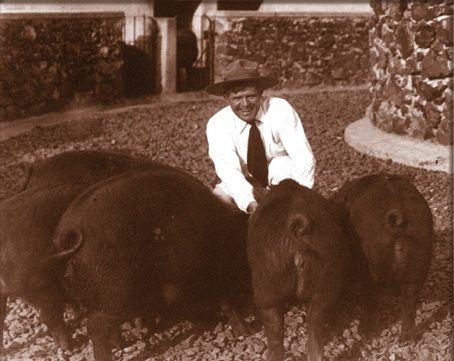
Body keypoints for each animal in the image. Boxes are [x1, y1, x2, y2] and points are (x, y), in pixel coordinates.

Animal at [44, 168, 250, 360]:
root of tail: (64, 237)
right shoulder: (217, 272)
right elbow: (227, 301)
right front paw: (243, 332)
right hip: (116, 293)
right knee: (95, 326)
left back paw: (122, 344)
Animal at [332, 174, 434, 340]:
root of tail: (400, 218)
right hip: (421, 257)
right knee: (409, 301)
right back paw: (407, 339)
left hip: (371, 265)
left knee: (372, 297)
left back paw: (365, 331)